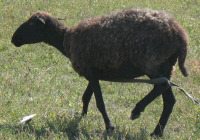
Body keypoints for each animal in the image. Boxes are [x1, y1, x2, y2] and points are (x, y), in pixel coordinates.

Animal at [11, 8, 189, 136]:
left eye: (31, 24)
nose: (14, 39)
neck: (66, 40)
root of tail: (180, 35)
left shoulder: (91, 73)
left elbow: (100, 102)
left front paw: (109, 126)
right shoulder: (93, 72)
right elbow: (86, 97)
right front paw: (82, 117)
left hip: (153, 62)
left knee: (161, 87)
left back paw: (137, 111)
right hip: (166, 66)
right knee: (169, 100)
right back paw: (157, 132)